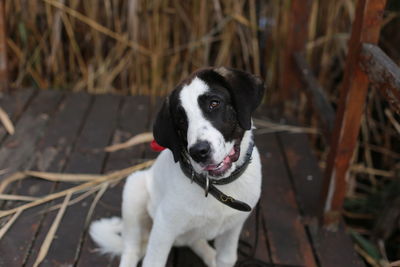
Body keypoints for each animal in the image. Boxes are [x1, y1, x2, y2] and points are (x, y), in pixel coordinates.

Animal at [90, 67, 266, 267]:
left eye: (214, 103)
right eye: (181, 121)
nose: (198, 152)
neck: (217, 187)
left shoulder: (232, 230)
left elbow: (226, 258)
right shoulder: (164, 227)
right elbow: (153, 261)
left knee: (196, 241)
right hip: (134, 192)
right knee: (131, 250)